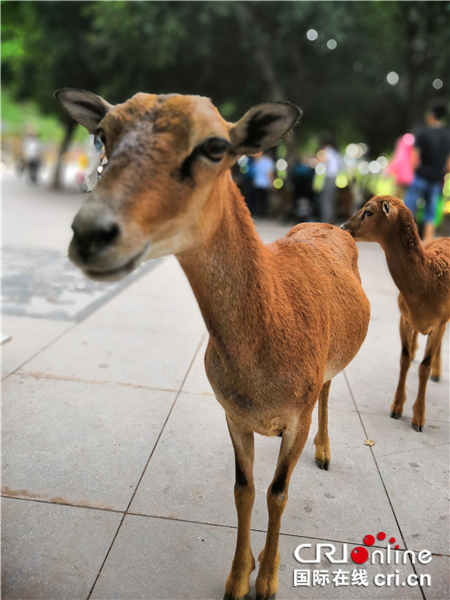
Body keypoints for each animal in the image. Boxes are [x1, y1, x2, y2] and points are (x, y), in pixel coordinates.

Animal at [55, 89, 370, 600]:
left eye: (215, 146)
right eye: (103, 133)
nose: (91, 233)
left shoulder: (295, 420)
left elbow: (278, 492)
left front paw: (268, 581)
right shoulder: (233, 415)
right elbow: (244, 490)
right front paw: (238, 579)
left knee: (326, 388)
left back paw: (324, 453)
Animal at [342, 196, 448, 432]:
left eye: (368, 212)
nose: (343, 227)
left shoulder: (439, 323)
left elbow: (424, 367)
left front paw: (418, 419)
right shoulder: (404, 317)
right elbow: (404, 359)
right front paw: (396, 408)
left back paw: (438, 373)